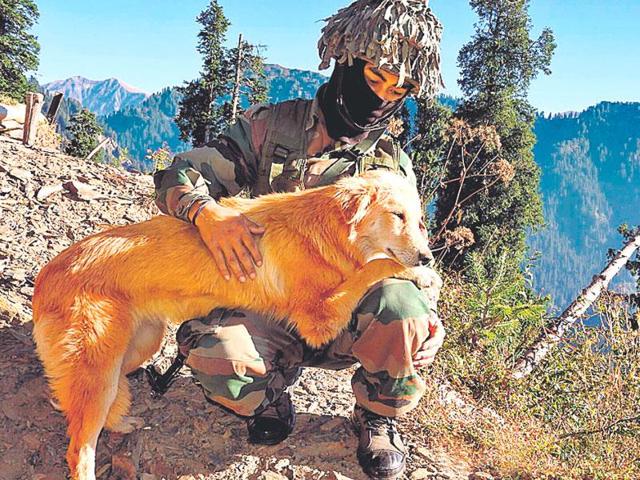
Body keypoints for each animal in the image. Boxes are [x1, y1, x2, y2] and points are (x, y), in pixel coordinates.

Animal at [30, 170, 430, 480]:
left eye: (419, 221)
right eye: (397, 215)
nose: (426, 256)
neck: (326, 231)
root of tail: (46, 276)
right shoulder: (319, 318)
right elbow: (376, 267)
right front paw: (417, 274)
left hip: (139, 345)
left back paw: (118, 421)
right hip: (100, 368)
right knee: (79, 446)